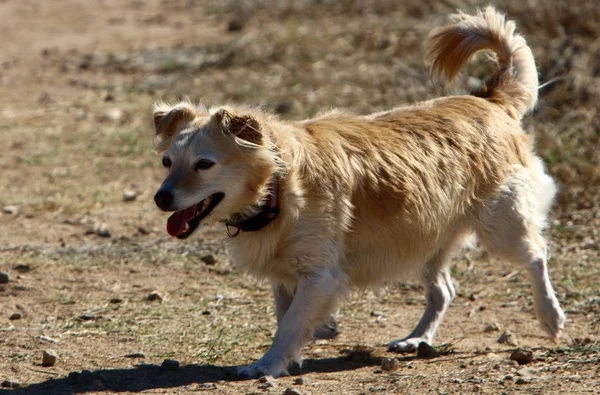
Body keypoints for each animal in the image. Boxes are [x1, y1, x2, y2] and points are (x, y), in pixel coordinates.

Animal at [152, 6, 564, 378]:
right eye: (167, 162)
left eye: (204, 164)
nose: (161, 198)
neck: (278, 186)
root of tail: (488, 100)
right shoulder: (284, 274)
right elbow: (286, 316)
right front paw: (300, 347)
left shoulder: (321, 274)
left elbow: (290, 323)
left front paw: (266, 364)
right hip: (425, 236)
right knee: (443, 289)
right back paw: (417, 338)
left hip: (501, 224)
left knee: (536, 256)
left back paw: (550, 316)